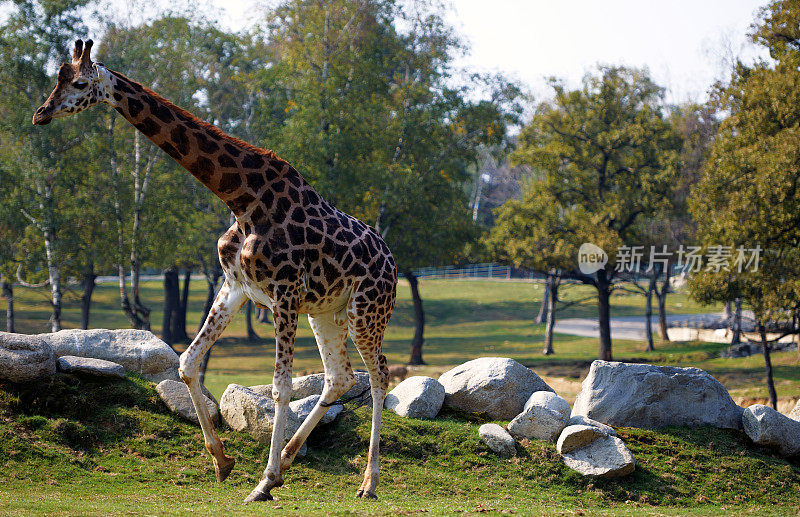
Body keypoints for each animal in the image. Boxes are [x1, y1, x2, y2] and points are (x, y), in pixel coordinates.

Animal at [34, 39, 396, 500]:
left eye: (79, 83)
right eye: (56, 79)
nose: (40, 114)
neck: (243, 199)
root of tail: (392, 263)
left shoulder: (284, 292)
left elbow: (280, 387)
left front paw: (262, 484)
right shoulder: (235, 286)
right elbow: (188, 362)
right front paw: (224, 461)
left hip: (365, 312)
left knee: (379, 375)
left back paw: (368, 481)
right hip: (326, 313)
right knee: (340, 377)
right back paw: (290, 459)